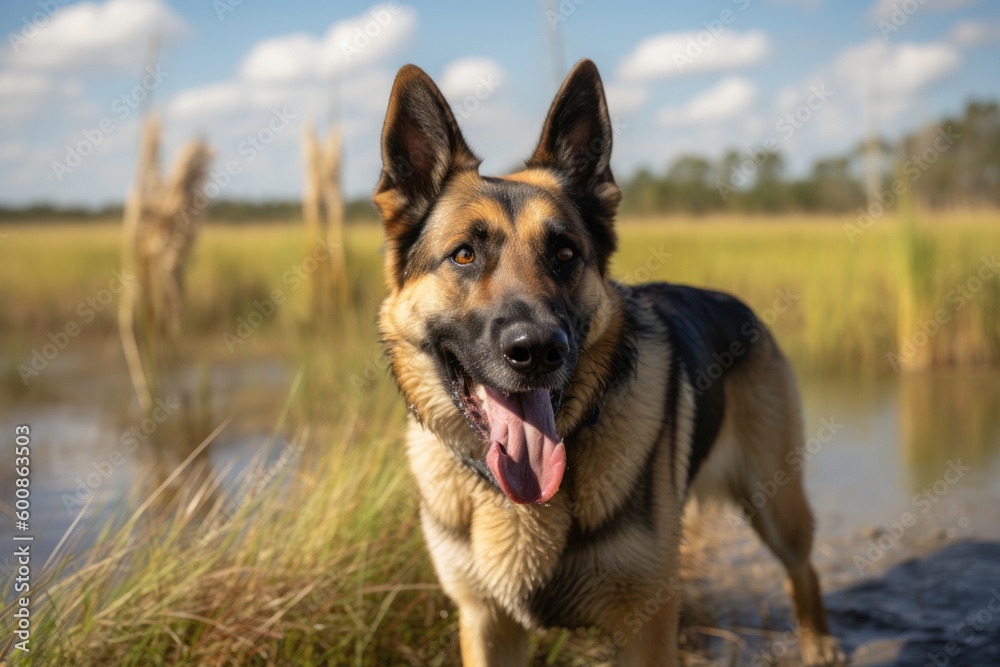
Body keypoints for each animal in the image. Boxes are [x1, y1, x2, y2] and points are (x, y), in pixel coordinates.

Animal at [376, 60, 844, 664]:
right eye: (464, 255)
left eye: (565, 253)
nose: (538, 350)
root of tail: (736, 304)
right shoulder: (486, 623)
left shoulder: (645, 625)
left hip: (775, 502)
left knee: (803, 567)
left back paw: (818, 641)